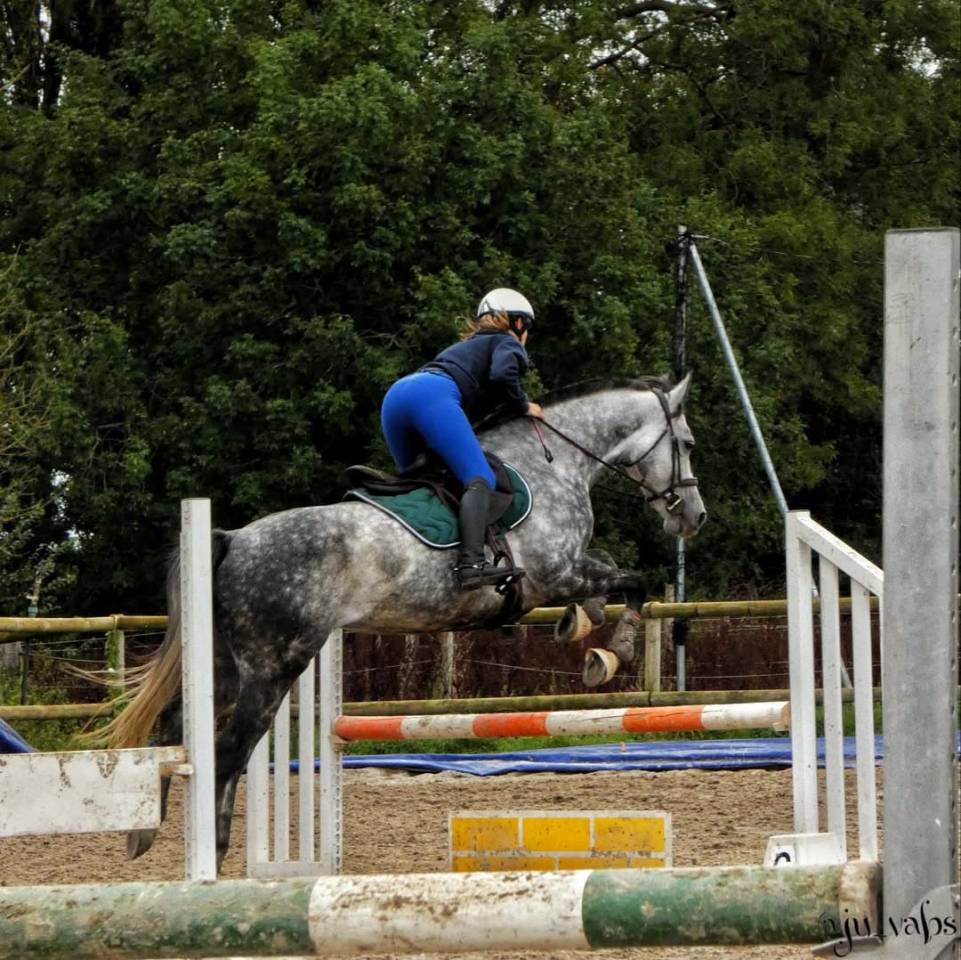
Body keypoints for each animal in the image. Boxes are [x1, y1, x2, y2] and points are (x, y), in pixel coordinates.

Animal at [97, 374, 706, 871]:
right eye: (687, 445)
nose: (694, 518)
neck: (554, 463)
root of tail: (235, 539)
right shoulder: (555, 574)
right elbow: (633, 583)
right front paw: (610, 652)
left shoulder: (566, 574)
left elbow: (610, 578)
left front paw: (584, 626)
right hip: (275, 666)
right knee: (229, 753)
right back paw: (215, 855)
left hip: (226, 664)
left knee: (174, 726)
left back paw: (142, 835)